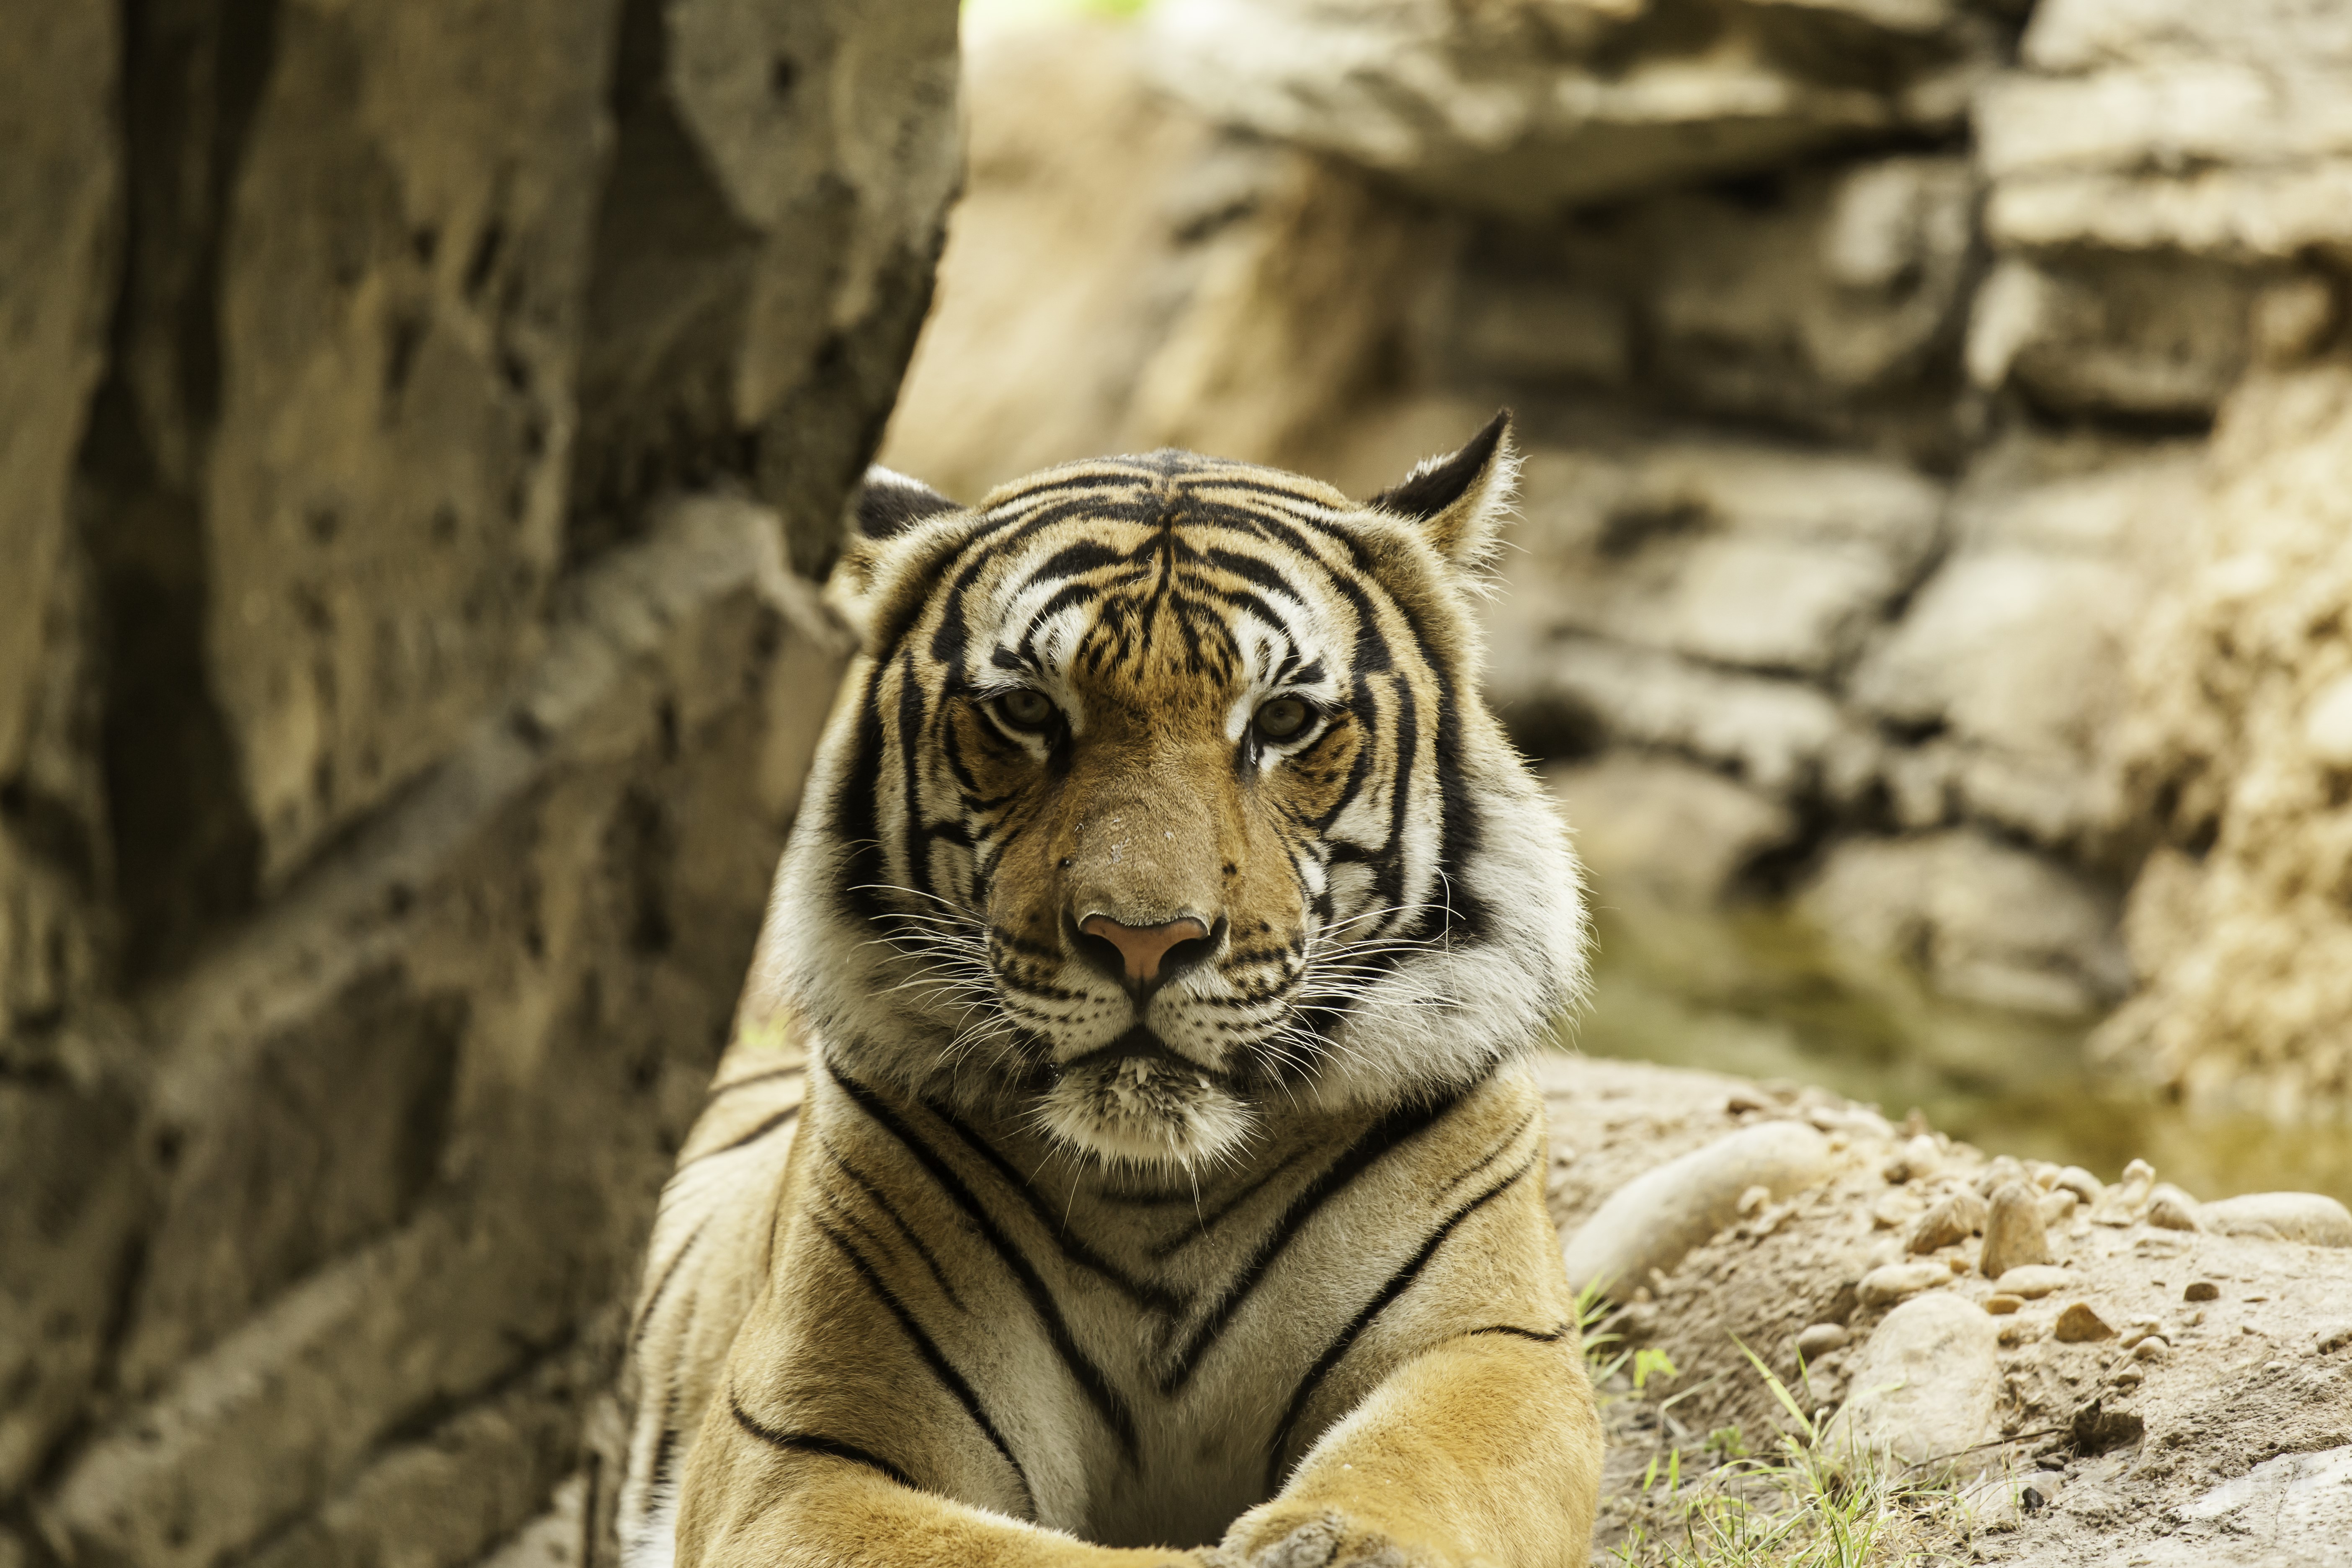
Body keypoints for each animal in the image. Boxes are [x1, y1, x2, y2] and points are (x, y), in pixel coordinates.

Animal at [613, 412, 1602, 1568]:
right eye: (1027, 711)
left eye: (1284, 719)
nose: (1144, 940)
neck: (1156, 1194)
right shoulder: (803, 1455)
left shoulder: (1493, 1349)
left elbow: (1420, 1461)